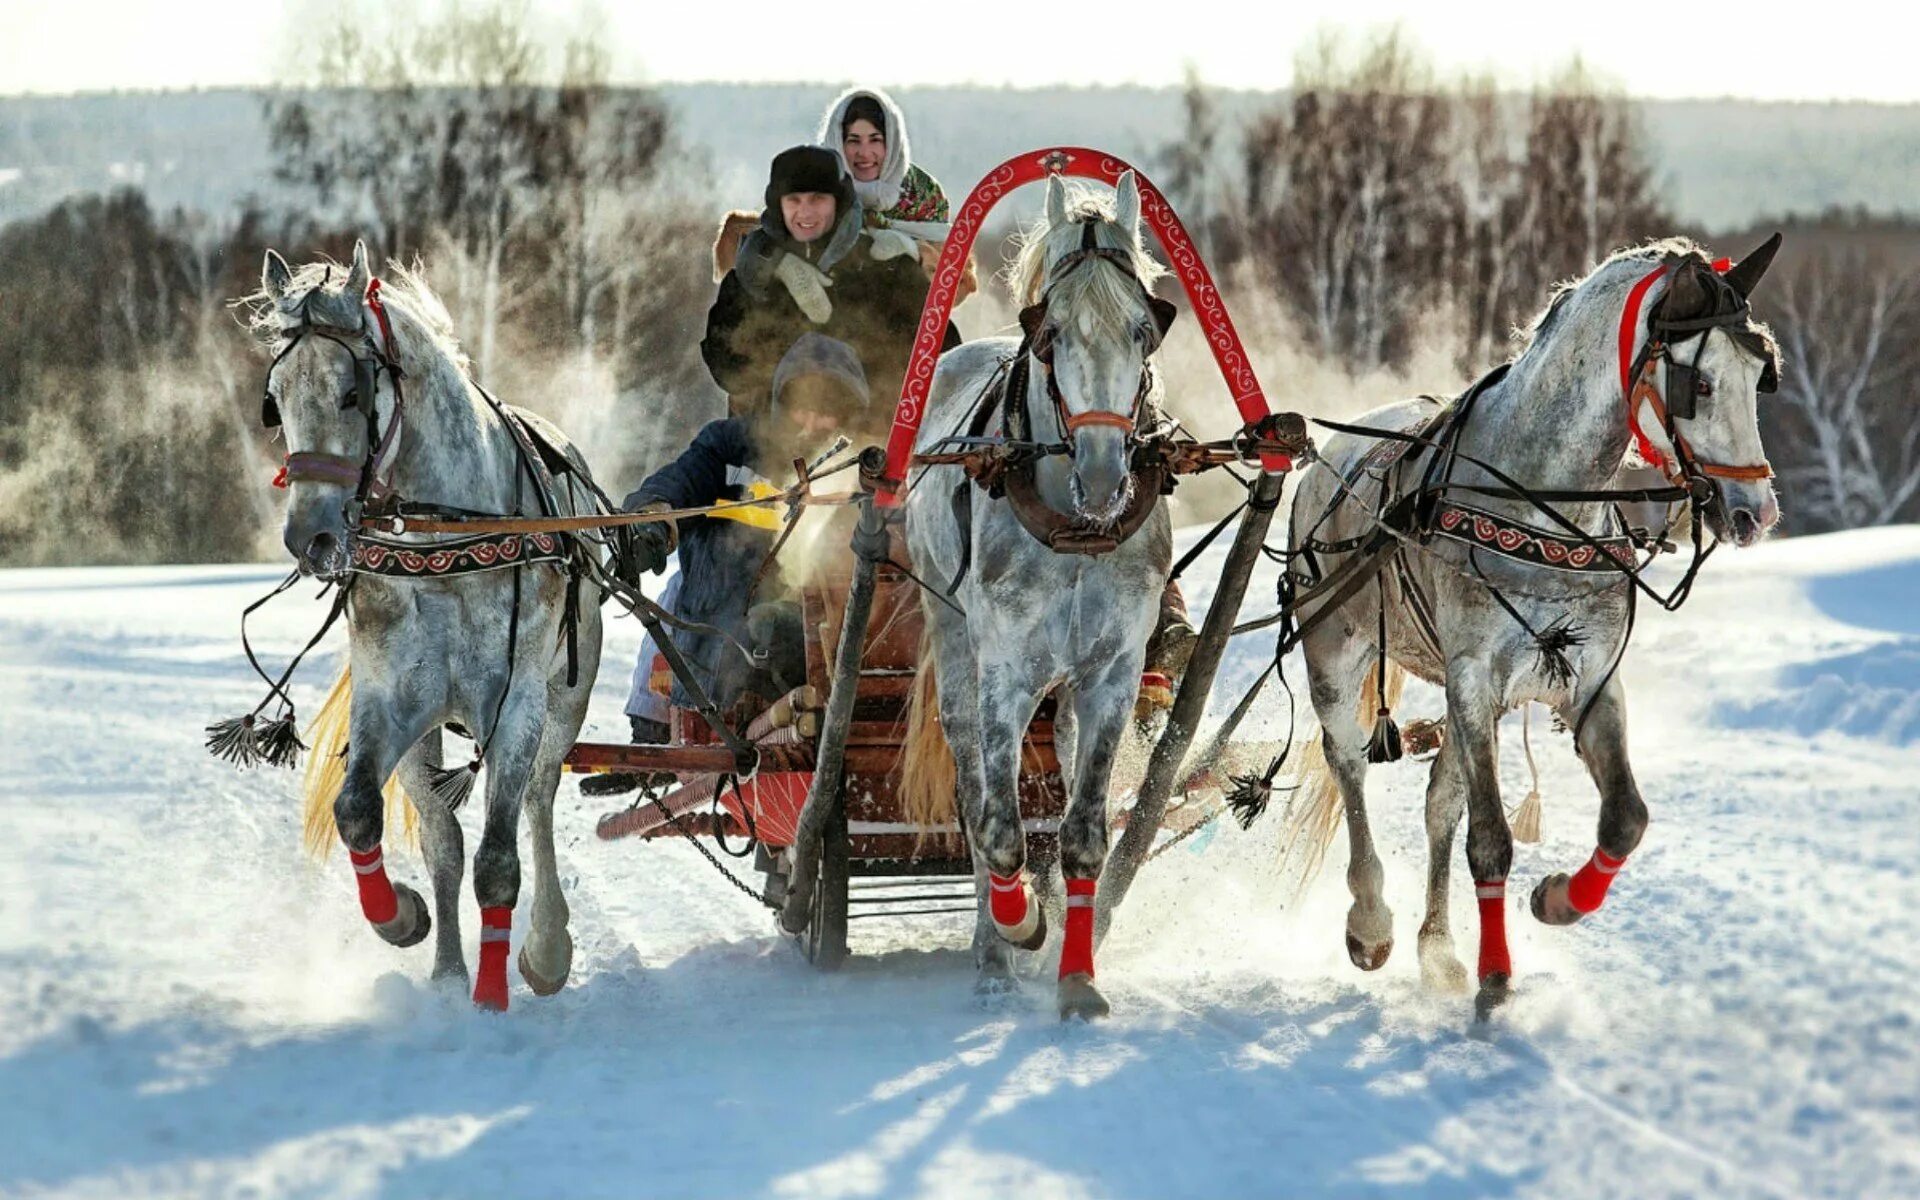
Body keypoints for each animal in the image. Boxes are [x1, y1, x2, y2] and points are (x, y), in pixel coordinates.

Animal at [253, 245, 599, 1013]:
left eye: (351, 394)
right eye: (277, 398)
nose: (310, 538)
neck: (447, 540)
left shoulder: (517, 704)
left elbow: (500, 856)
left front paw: (495, 996)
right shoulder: (392, 700)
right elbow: (361, 812)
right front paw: (402, 918)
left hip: (564, 699)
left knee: (537, 802)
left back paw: (545, 948)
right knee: (444, 839)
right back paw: (445, 969)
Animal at [906, 175, 1175, 1021]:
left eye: (1143, 331)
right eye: (1051, 334)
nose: (1102, 475)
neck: (1075, 530)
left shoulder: (1112, 675)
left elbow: (1085, 830)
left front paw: (1077, 975)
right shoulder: (1006, 675)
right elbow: (998, 827)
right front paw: (1018, 927)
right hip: (954, 639)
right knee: (973, 791)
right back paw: (996, 947)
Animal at [1282, 231, 1774, 1013]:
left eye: (1761, 372)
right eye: (1698, 384)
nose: (1755, 513)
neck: (1540, 500)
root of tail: (1328, 457)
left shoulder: (1591, 680)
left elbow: (1625, 818)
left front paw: (1558, 900)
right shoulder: (1474, 678)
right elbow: (1492, 838)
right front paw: (1495, 975)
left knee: (1439, 801)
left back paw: (1438, 948)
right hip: (1336, 652)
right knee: (1350, 764)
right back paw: (1372, 921)